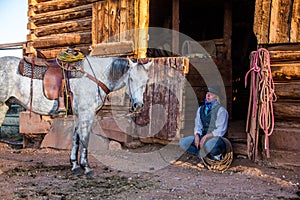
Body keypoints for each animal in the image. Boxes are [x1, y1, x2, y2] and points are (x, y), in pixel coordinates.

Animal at [0, 55, 152, 174]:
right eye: (131, 79)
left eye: (145, 81)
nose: (138, 105)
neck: (95, 76)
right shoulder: (87, 113)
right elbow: (84, 138)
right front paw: (86, 167)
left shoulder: (79, 114)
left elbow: (76, 138)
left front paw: (75, 165)